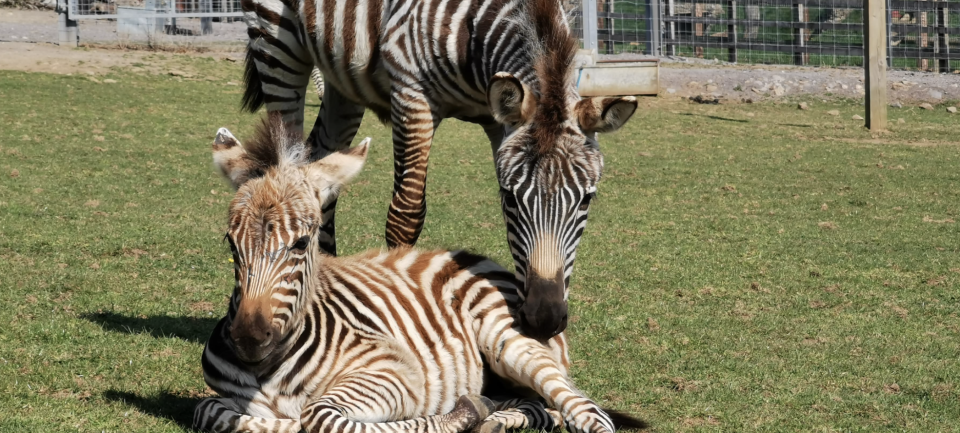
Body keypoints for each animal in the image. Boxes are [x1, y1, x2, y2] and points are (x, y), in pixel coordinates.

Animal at [194, 115, 644, 432]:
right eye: (231, 244)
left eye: (302, 244)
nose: (248, 339)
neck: (270, 370)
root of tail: (479, 259)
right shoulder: (225, 401)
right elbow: (210, 411)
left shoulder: (395, 373)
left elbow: (318, 416)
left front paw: (458, 416)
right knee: (541, 408)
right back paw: (495, 419)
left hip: (509, 341)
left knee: (586, 413)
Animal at [238, 0, 636, 338]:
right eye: (510, 198)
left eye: (587, 201)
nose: (543, 319)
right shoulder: (411, 96)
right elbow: (406, 215)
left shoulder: (497, 121)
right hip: (276, 44)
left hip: (342, 78)